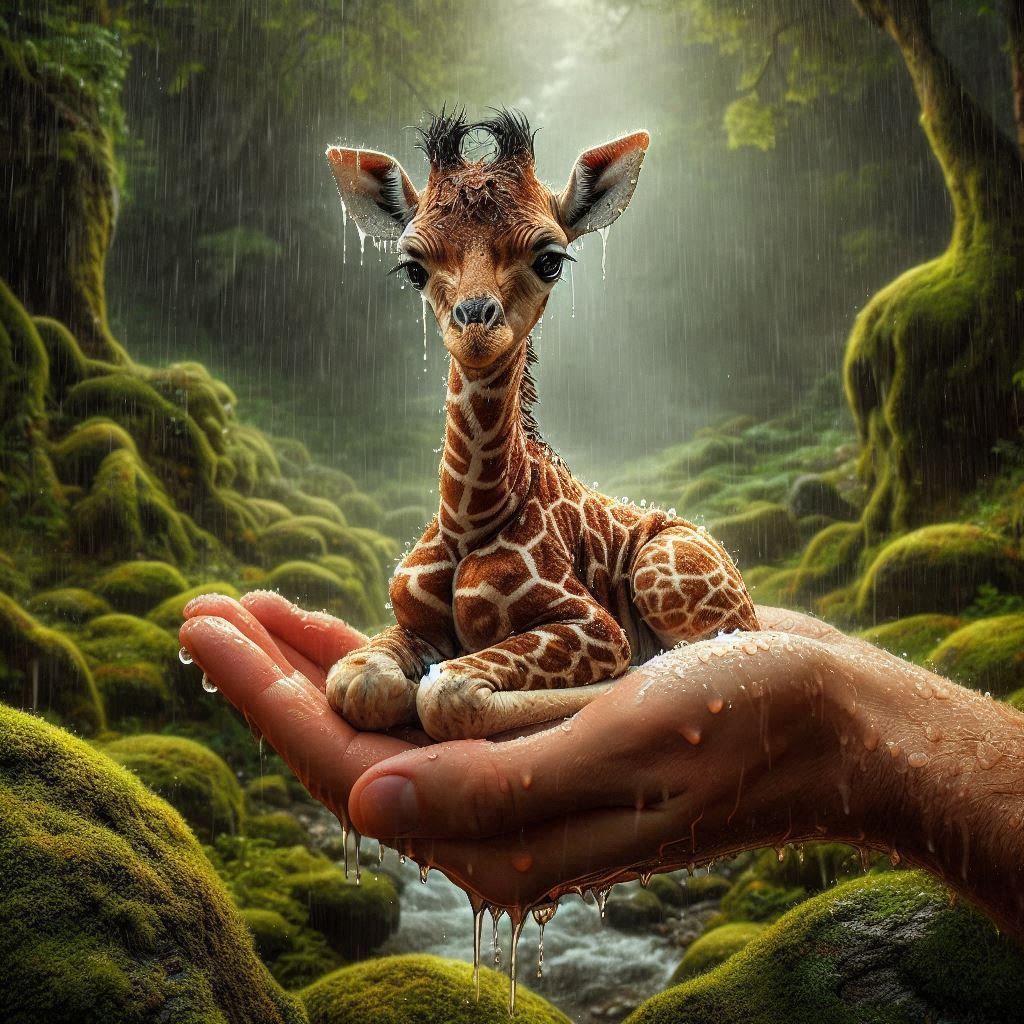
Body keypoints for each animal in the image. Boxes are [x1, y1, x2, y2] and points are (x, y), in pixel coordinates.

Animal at [325, 110, 758, 741]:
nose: (475, 325)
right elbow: (356, 682)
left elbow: (449, 692)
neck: (469, 517)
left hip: (668, 576)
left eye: (549, 258)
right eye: (413, 268)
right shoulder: (408, 626)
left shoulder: (595, 627)